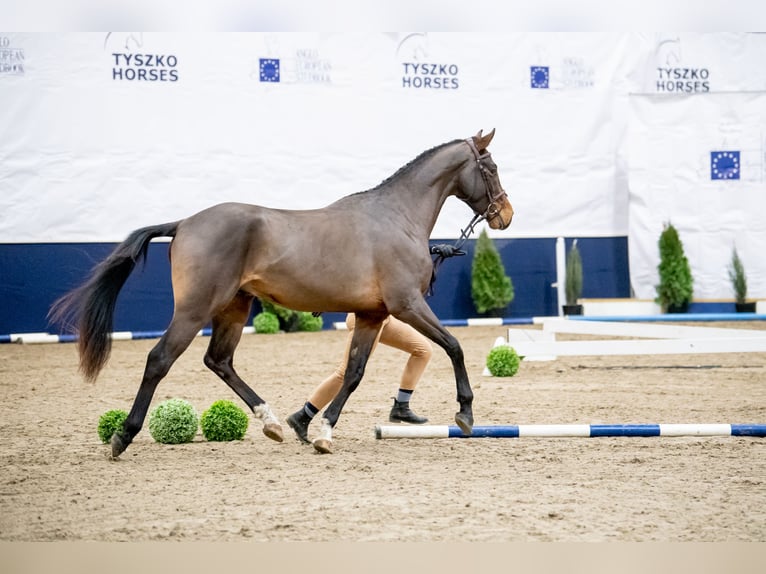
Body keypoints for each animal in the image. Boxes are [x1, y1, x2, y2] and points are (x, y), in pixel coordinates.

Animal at [49, 129, 514, 456]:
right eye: (490, 168)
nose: (505, 214)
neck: (396, 217)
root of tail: (185, 223)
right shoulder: (407, 305)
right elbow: (454, 346)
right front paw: (465, 413)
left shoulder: (373, 315)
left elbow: (354, 373)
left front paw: (322, 433)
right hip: (195, 310)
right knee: (160, 360)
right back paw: (122, 437)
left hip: (234, 308)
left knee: (219, 361)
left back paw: (271, 422)